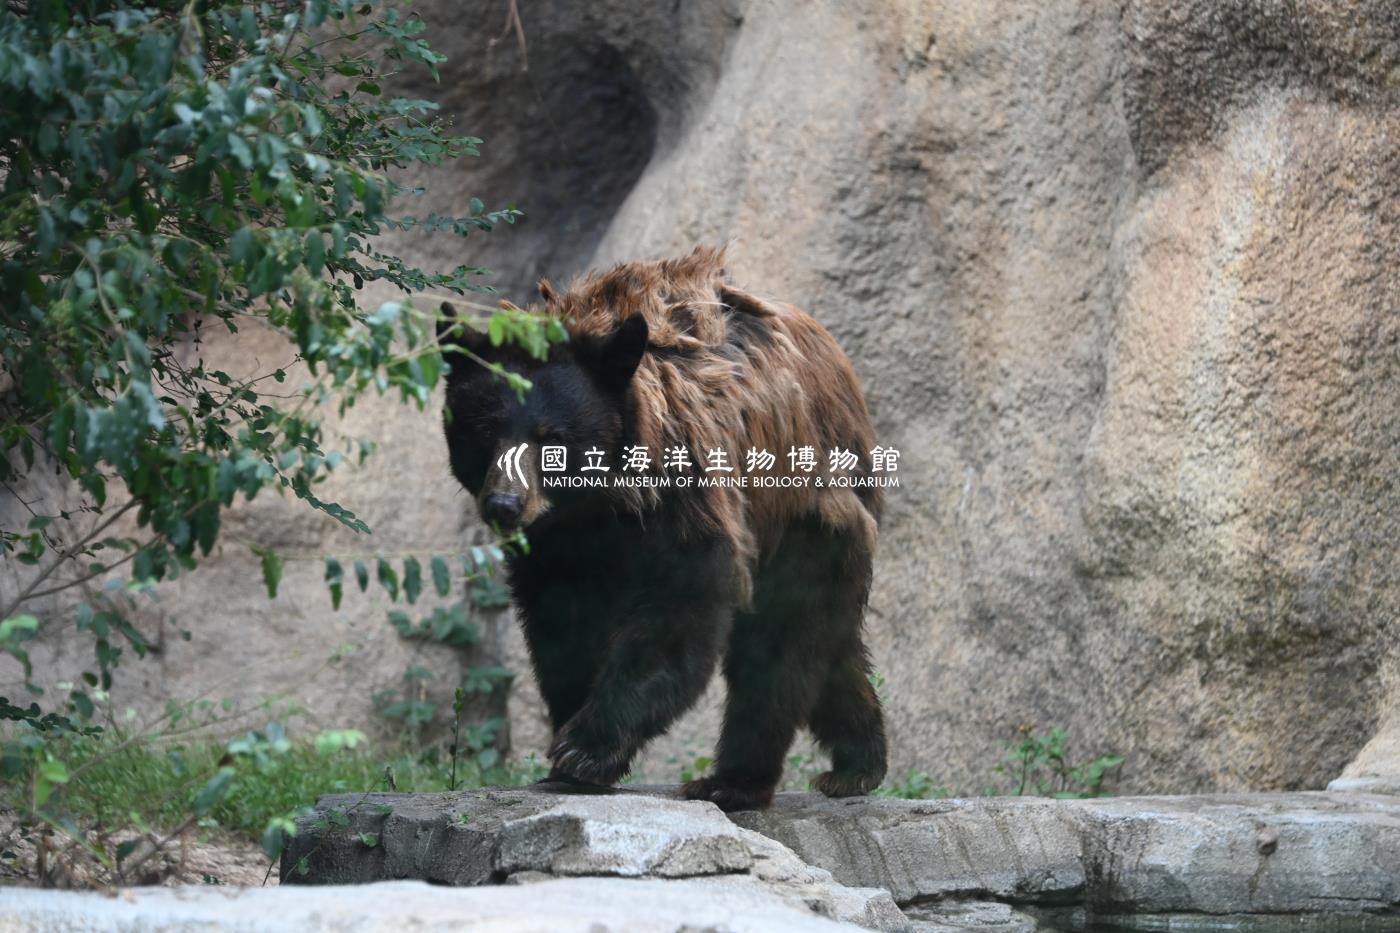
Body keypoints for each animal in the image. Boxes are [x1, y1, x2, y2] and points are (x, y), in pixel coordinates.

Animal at [439, 246, 886, 811]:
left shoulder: (684, 496)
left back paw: (733, 780)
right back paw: (858, 764)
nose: (504, 504)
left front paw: (587, 749)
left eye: (551, 436)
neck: (598, 503)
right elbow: (559, 630)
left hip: (801, 515)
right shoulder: (555, 549)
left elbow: (676, 615)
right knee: (829, 647)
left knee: (778, 647)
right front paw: (567, 749)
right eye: (484, 428)